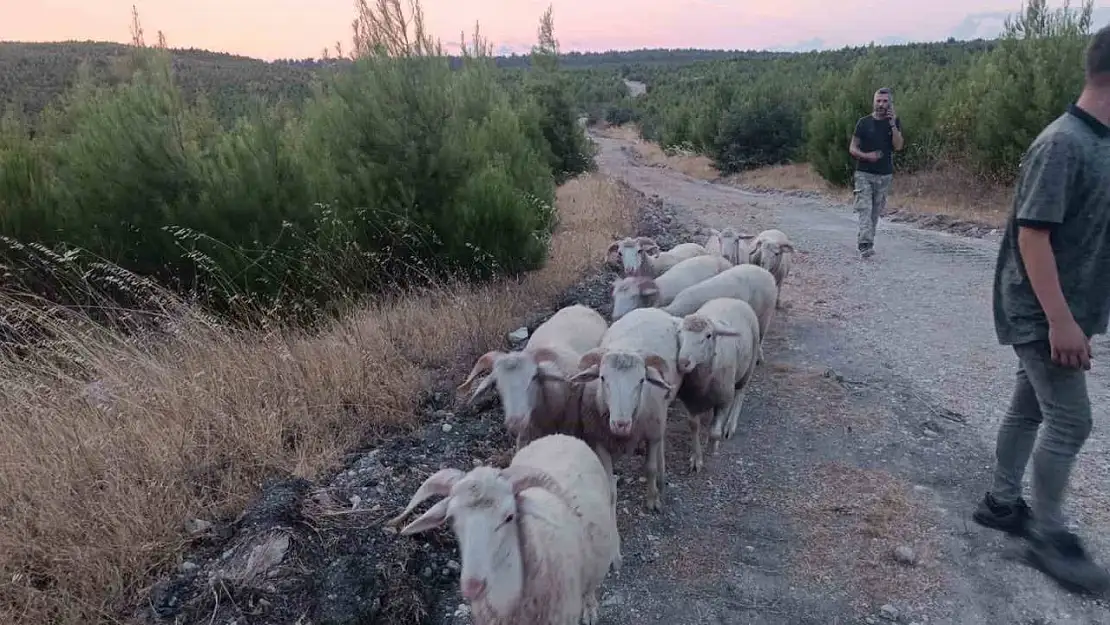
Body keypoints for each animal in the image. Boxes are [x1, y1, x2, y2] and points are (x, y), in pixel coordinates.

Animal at [388, 432, 621, 625]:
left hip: (596, 563)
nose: (472, 586)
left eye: (509, 517)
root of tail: (560, 435)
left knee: (590, 588)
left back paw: (590, 610)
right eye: (452, 518)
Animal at [568, 306, 679, 510]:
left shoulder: (652, 433)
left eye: (641, 380)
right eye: (602, 378)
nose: (621, 424)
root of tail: (649, 309)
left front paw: (652, 500)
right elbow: (608, 483)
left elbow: (650, 468)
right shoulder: (599, 441)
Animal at [666, 295, 763, 472]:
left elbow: (715, 433)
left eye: (708, 335)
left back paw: (730, 426)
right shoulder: (691, 402)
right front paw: (696, 459)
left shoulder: (724, 399)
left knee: (740, 393)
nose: (683, 362)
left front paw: (712, 447)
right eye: (679, 332)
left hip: (748, 366)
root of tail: (732, 299)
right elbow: (694, 426)